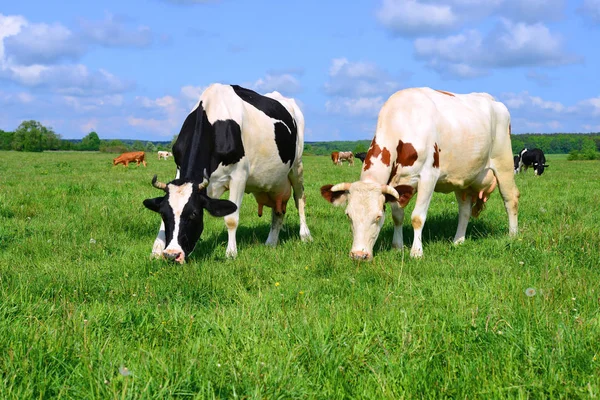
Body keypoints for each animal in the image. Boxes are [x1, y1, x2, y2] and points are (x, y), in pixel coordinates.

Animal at [143, 83, 312, 262]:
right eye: (163, 214)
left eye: (194, 214)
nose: (172, 254)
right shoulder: (179, 169)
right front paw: (156, 251)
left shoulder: (239, 176)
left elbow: (231, 218)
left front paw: (231, 253)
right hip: (275, 181)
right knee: (278, 210)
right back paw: (270, 243)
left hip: (297, 166)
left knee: (299, 199)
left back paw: (305, 235)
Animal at [322, 87, 516, 260]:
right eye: (348, 215)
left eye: (377, 216)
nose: (358, 255)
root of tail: (492, 99)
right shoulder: (395, 185)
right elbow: (397, 216)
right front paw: (397, 247)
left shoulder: (429, 176)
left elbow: (417, 217)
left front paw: (416, 253)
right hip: (463, 179)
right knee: (465, 211)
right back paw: (458, 241)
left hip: (504, 163)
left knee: (511, 199)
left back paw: (513, 236)